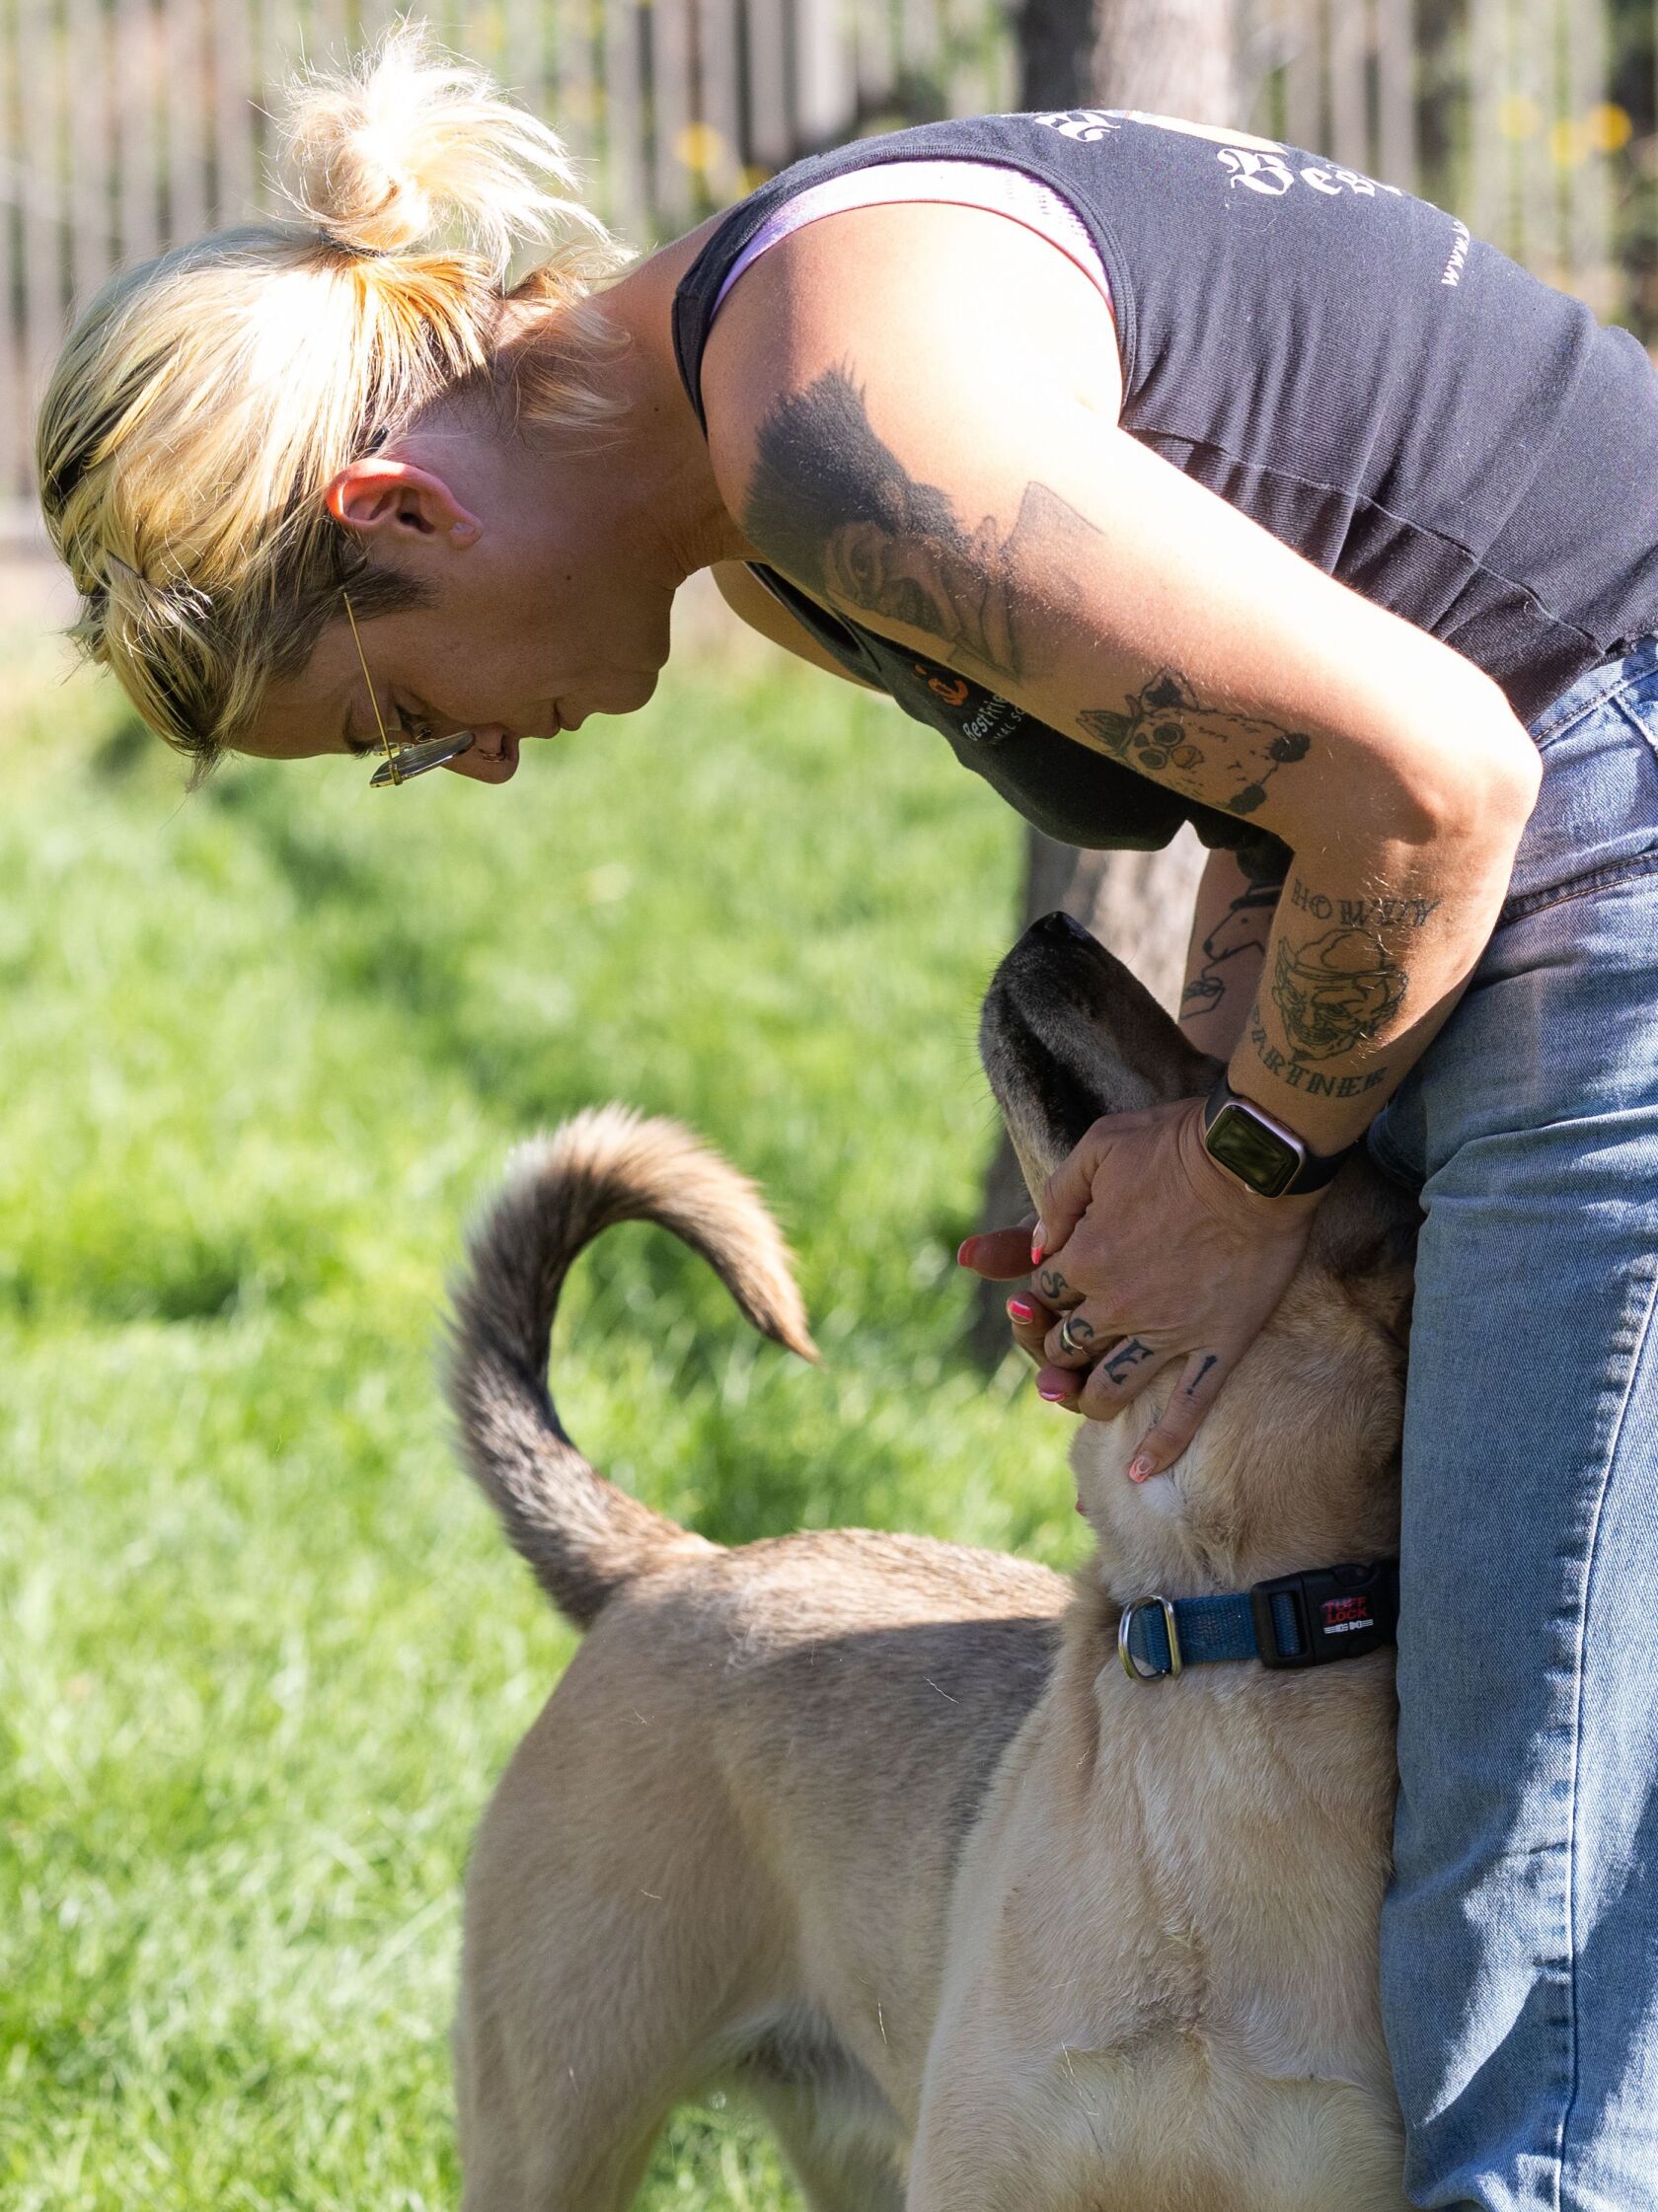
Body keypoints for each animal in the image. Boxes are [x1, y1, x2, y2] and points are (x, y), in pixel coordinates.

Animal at [447, 907, 1416, 2203]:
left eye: (1221, 1086)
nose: (1057, 925)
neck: (1218, 1633)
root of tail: (677, 1563)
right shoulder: (983, 2167)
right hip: (553, 2132)